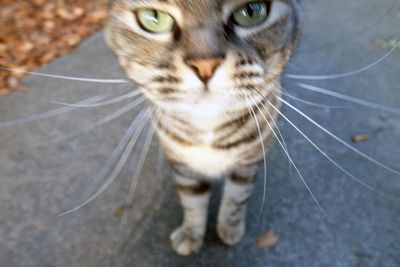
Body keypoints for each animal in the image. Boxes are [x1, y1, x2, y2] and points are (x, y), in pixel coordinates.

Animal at [104, 0, 302, 256]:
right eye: (154, 17)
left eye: (252, 11)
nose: (205, 65)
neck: (208, 129)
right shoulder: (184, 166)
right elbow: (192, 202)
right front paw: (191, 234)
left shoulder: (248, 164)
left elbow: (236, 198)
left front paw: (229, 228)